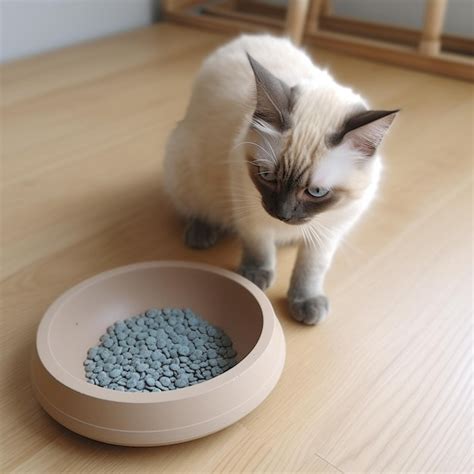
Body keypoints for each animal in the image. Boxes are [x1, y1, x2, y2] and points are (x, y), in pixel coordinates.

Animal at [165, 32, 398, 322]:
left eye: (317, 192)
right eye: (267, 176)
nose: (282, 214)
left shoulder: (330, 230)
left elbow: (311, 268)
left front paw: (305, 301)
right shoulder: (249, 211)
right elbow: (259, 247)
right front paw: (255, 277)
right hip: (186, 168)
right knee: (195, 209)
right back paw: (202, 233)